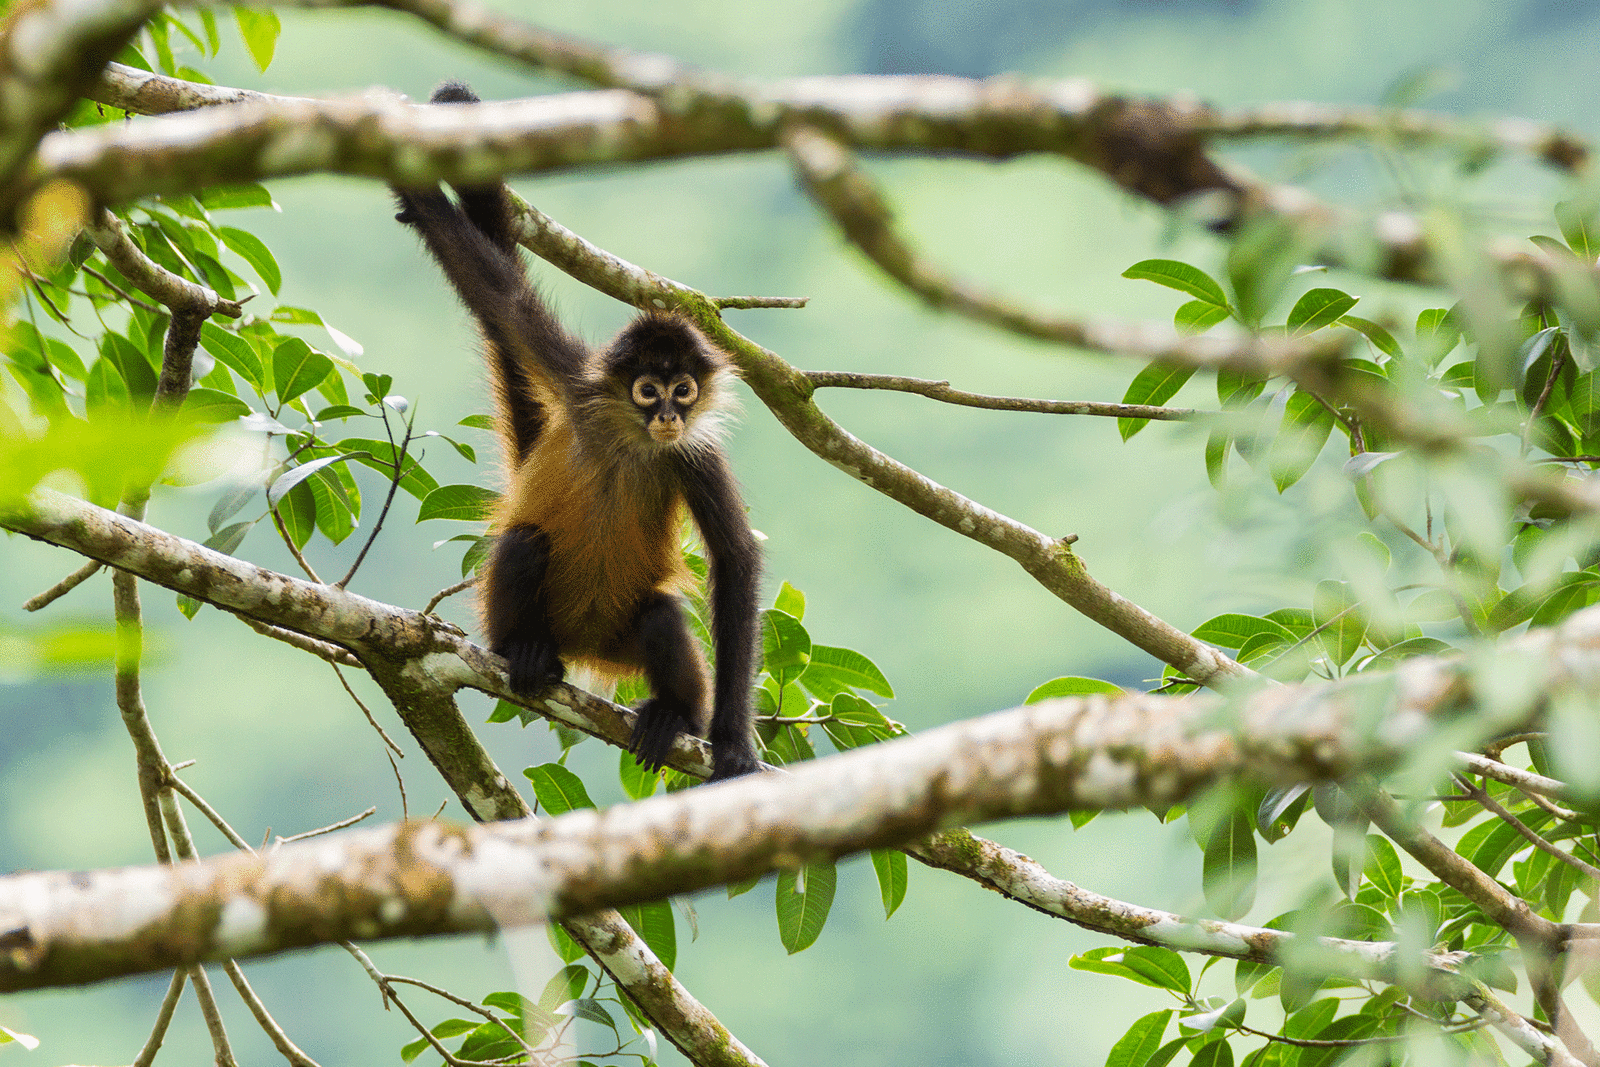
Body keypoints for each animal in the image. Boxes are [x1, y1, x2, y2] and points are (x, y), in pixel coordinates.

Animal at [392, 81, 764, 783]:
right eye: (647, 389)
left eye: (684, 389)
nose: (668, 415)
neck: (629, 442)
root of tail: (584, 644)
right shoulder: (577, 383)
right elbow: (499, 297)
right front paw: (414, 190)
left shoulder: (696, 453)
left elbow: (734, 562)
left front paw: (731, 741)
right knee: (523, 543)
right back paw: (525, 651)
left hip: (625, 638)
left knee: (662, 615)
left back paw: (677, 715)